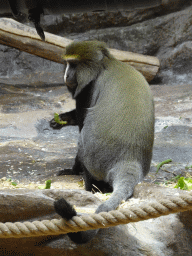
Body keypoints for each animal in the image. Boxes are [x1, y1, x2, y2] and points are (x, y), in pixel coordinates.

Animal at [50, 40, 154, 244]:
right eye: (67, 64)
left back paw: (89, 185)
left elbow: (82, 123)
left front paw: (72, 170)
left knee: (83, 142)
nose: (66, 75)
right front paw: (60, 119)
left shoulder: (87, 91)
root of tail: (129, 160)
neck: (106, 62)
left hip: (94, 159)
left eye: (73, 64)